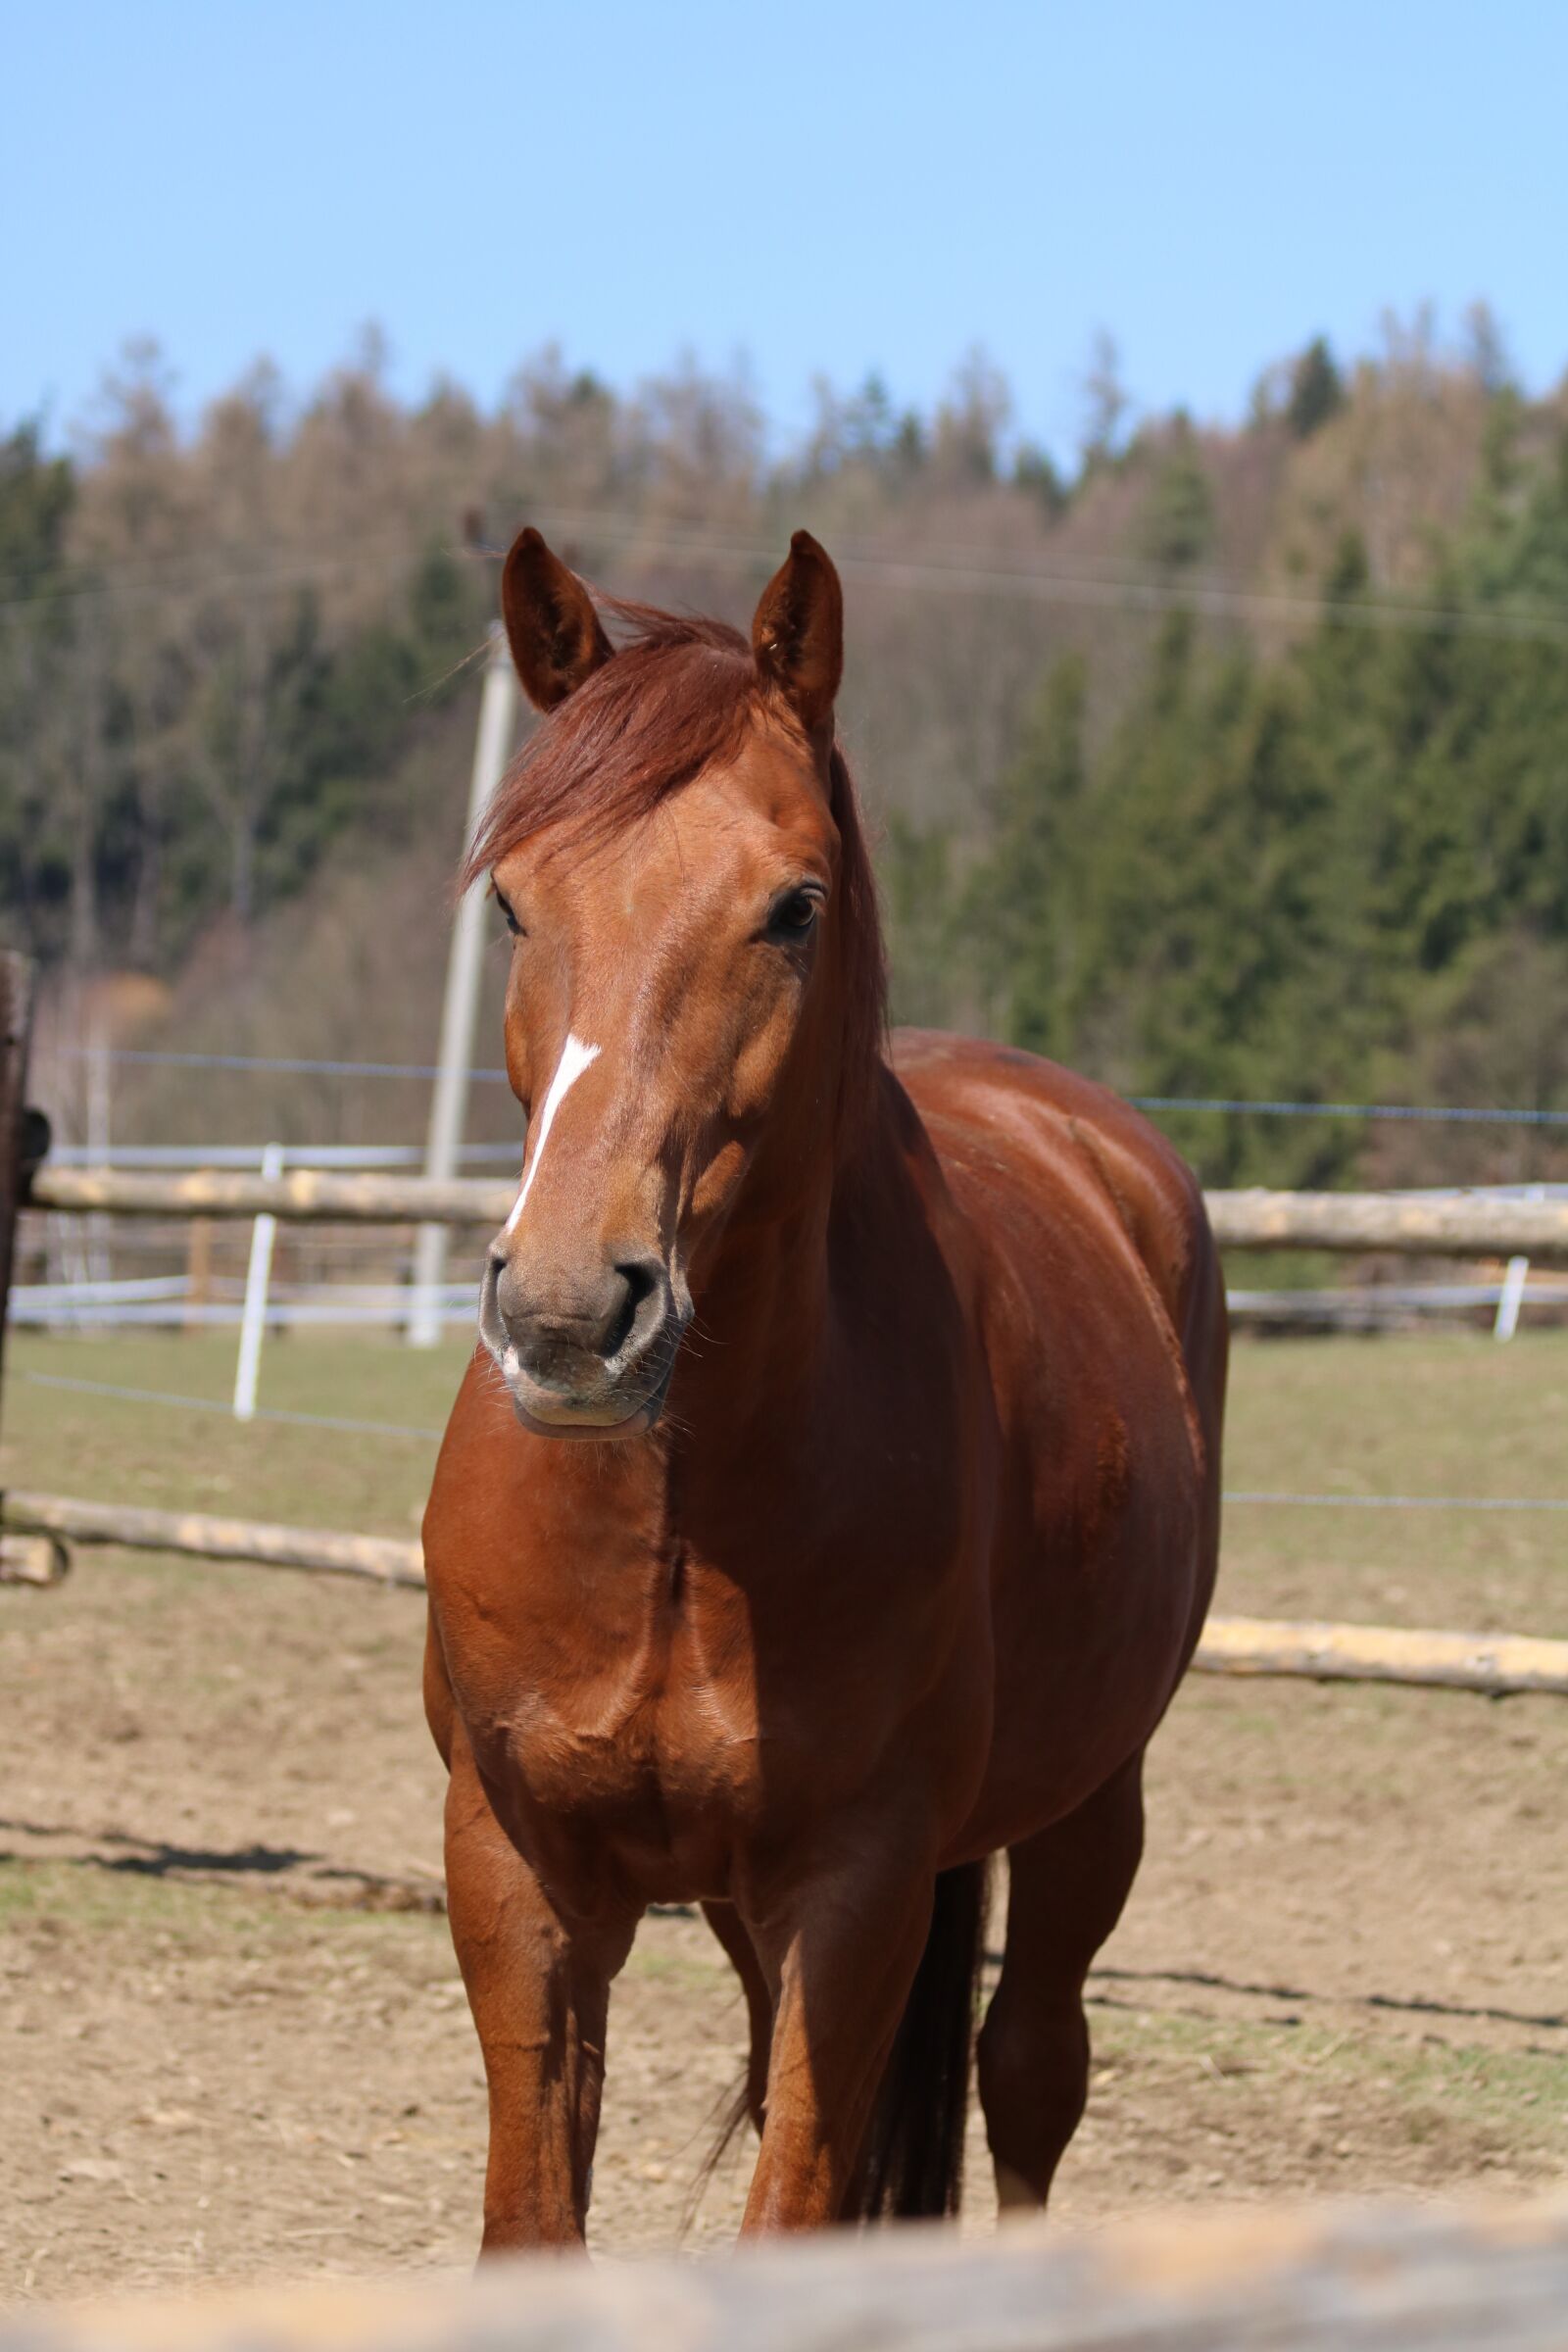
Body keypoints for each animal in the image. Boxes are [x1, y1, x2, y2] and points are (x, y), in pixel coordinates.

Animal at [421, 525, 1228, 2249]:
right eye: (514, 903)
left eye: (793, 906)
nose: (571, 1315)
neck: (679, 1514)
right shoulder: (518, 1874)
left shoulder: (854, 1895)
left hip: (1088, 1813)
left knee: (1030, 2073)